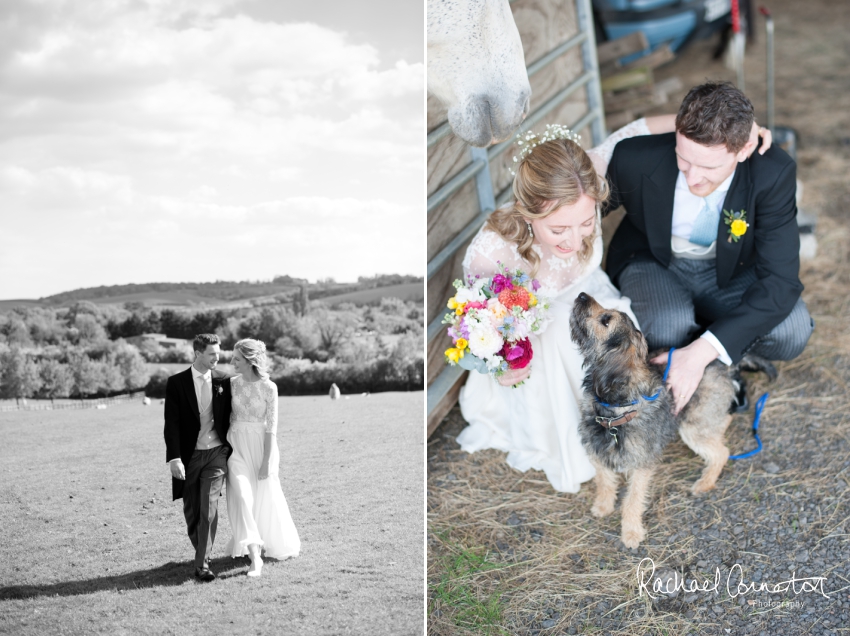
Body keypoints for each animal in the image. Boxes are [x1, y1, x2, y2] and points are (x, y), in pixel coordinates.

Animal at [568, 292, 736, 548]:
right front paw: (603, 506)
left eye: (606, 320)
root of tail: (721, 365)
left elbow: (633, 498)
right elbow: (604, 481)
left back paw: (704, 483)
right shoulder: (597, 449)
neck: (615, 410)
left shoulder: (642, 464)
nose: (582, 295)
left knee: (721, 452)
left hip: (692, 427)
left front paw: (631, 533)